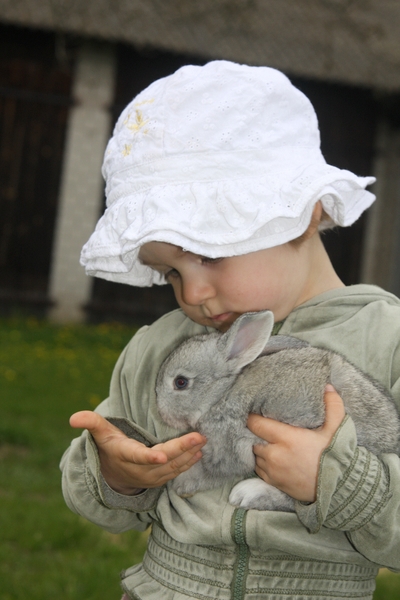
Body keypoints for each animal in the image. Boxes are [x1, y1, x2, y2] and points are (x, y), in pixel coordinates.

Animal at [155, 310, 400, 510]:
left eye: (180, 382)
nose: (160, 410)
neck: (221, 394)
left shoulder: (228, 446)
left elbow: (212, 471)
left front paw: (181, 484)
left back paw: (248, 493)